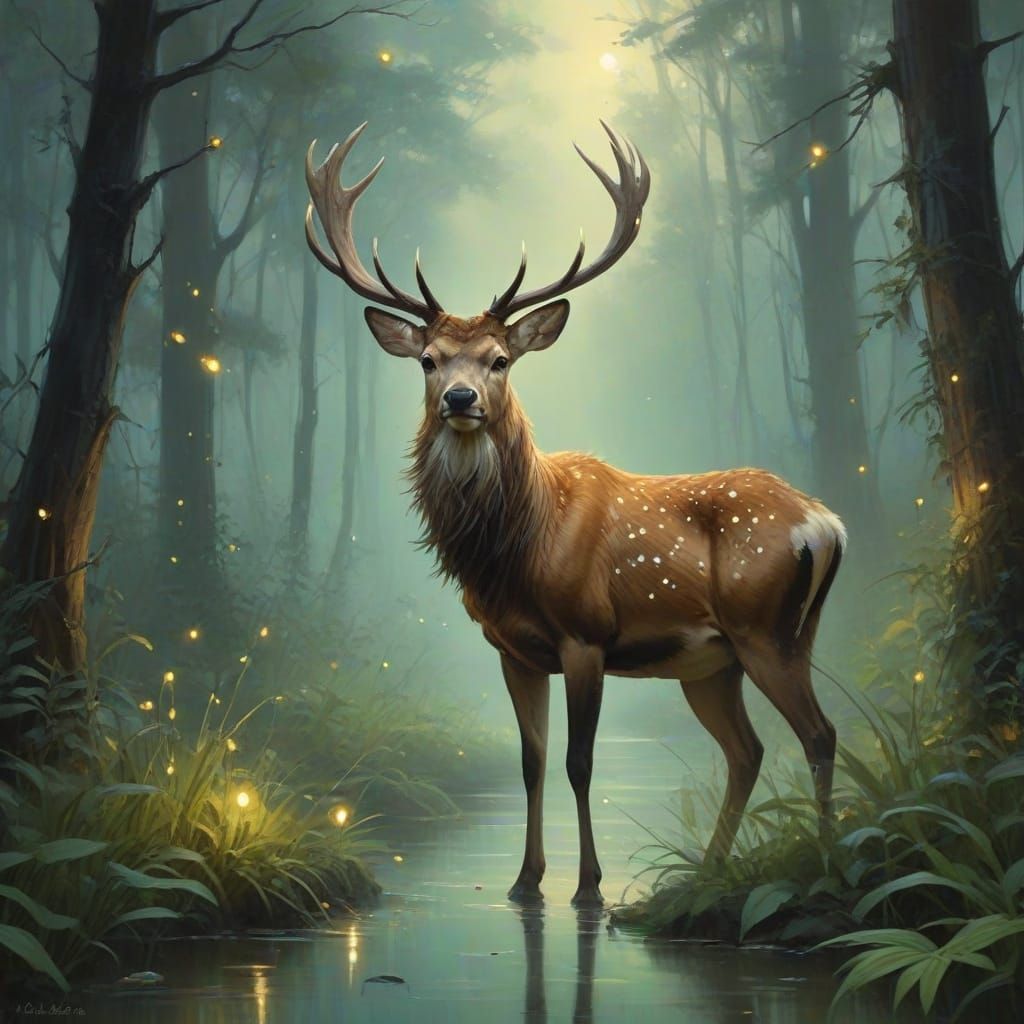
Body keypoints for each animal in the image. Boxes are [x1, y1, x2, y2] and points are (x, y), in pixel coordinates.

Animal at [305, 122, 845, 907]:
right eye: (429, 360)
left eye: (499, 360)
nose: (460, 399)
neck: (520, 547)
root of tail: (827, 524)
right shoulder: (513, 649)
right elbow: (530, 760)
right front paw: (524, 881)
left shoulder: (586, 634)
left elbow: (578, 762)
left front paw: (587, 887)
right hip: (717, 661)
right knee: (748, 750)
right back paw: (705, 873)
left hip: (767, 630)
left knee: (819, 733)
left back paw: (824, 862)